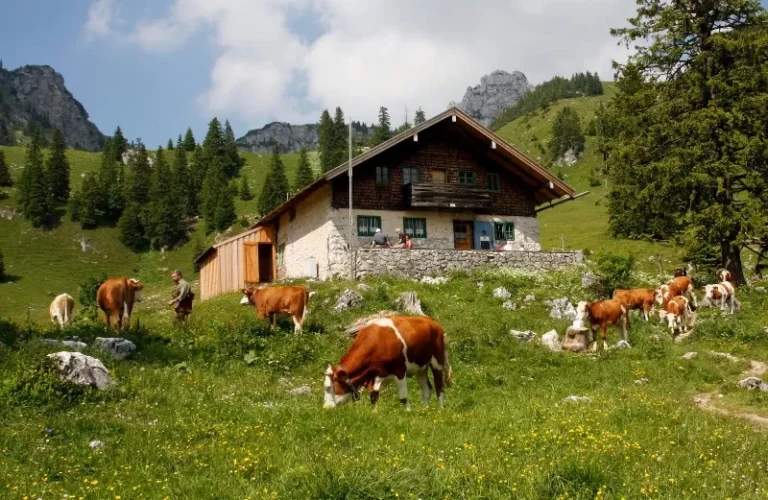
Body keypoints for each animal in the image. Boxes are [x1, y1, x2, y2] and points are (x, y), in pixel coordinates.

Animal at [322, 316, 450, 410]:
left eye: (329, 388)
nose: (326, 407)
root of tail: (433, 322)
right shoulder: (376, 375)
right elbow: (374, 396)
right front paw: (373, 413)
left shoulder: (399, 371)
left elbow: (403, 397)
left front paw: (409, 413)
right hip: (420, 368)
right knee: (426, 389)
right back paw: (426, 410)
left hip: (437, 362)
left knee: (439, 387)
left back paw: (440, 410)